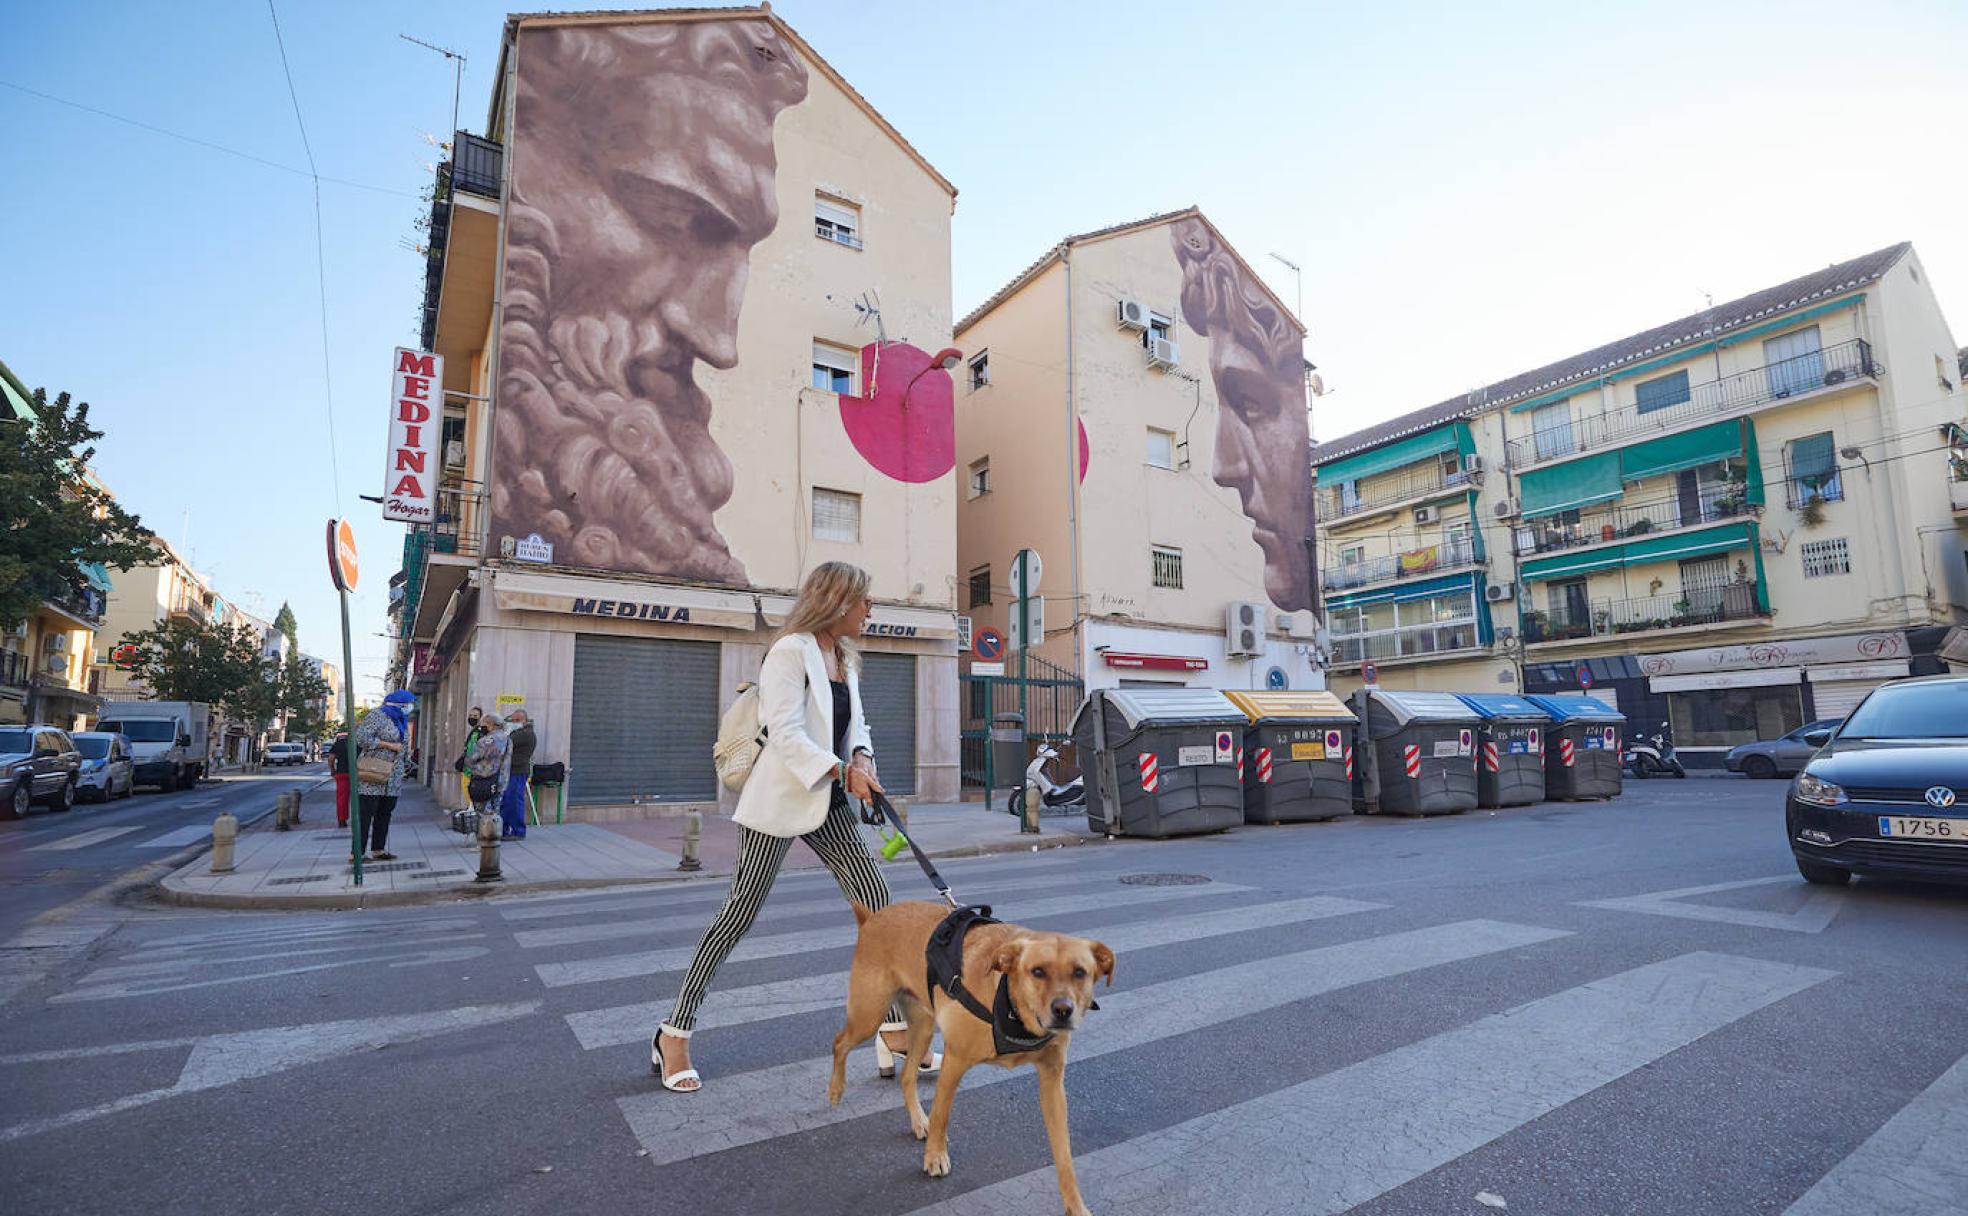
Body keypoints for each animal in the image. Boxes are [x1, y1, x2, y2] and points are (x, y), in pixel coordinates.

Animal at [826, 893, 1109, 1204]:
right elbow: (942, 1114)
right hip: (869, 1014)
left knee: (907, 1076)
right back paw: (836, 1089)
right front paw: (935, 1157)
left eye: (1080, 973)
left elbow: (1064, 1155)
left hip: (922, 1027)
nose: (1063, 1011)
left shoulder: (1052, 1082)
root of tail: (870, 919)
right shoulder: (955, 1060)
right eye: (1037, 972)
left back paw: (918, 1120)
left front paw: (1075, 1204)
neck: (1007, 1004)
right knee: (839, 1042)